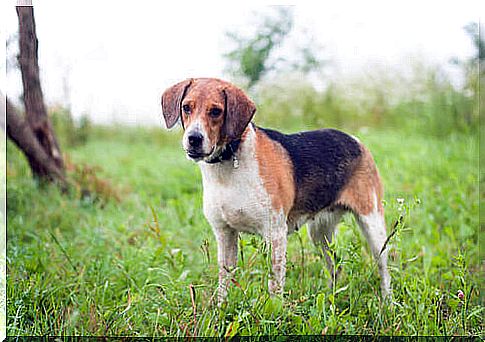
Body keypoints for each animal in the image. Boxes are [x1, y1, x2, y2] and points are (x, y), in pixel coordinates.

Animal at [161, 78, 392, 302]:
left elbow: (275, 285)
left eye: (216, 111)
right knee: (335, 266)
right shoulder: (224, 233)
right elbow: (223, 282)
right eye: (186, 107)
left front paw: (276, 311)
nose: (194, 139)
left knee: (384, 268)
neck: (229, 162)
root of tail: (356, 140)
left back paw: (387, 303)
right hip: (319, 233)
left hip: (372, 225)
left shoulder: (275, 234)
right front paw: (220, 309)